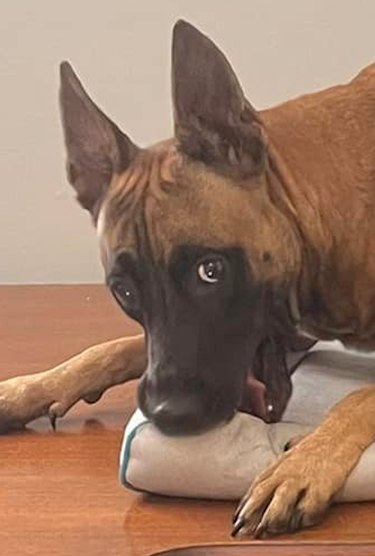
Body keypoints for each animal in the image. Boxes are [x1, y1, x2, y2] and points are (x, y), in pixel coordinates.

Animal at [0, 19, 375, 536]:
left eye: (210, 270)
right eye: (125, 291)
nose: (167, 416)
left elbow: (360, 395)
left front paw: (303, 465)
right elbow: (115, 347)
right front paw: (30, 389)